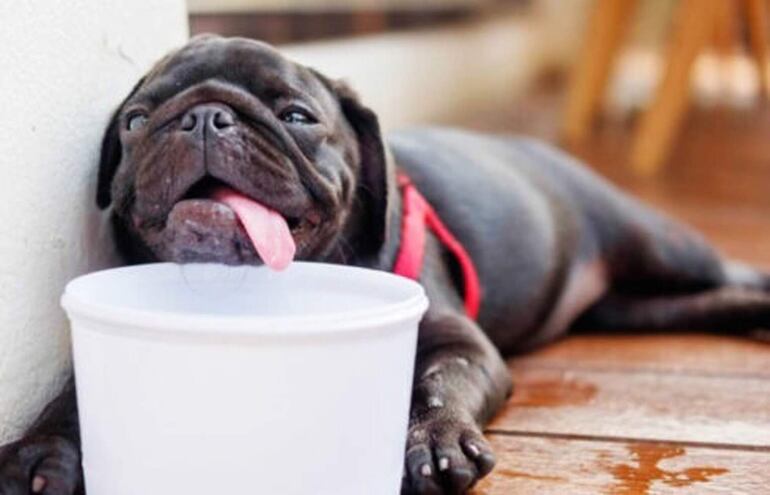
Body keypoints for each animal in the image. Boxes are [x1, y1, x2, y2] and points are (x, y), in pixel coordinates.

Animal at [1, 35, 768, 495]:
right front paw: (41, 450)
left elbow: (433, 382)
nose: (203, 117)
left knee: (726, 272)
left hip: (661, 245)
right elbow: (70, 394)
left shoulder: (459, 342)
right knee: (704, 302)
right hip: (643, 305)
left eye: (297, 115)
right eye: (135, 123)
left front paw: (436, 440)